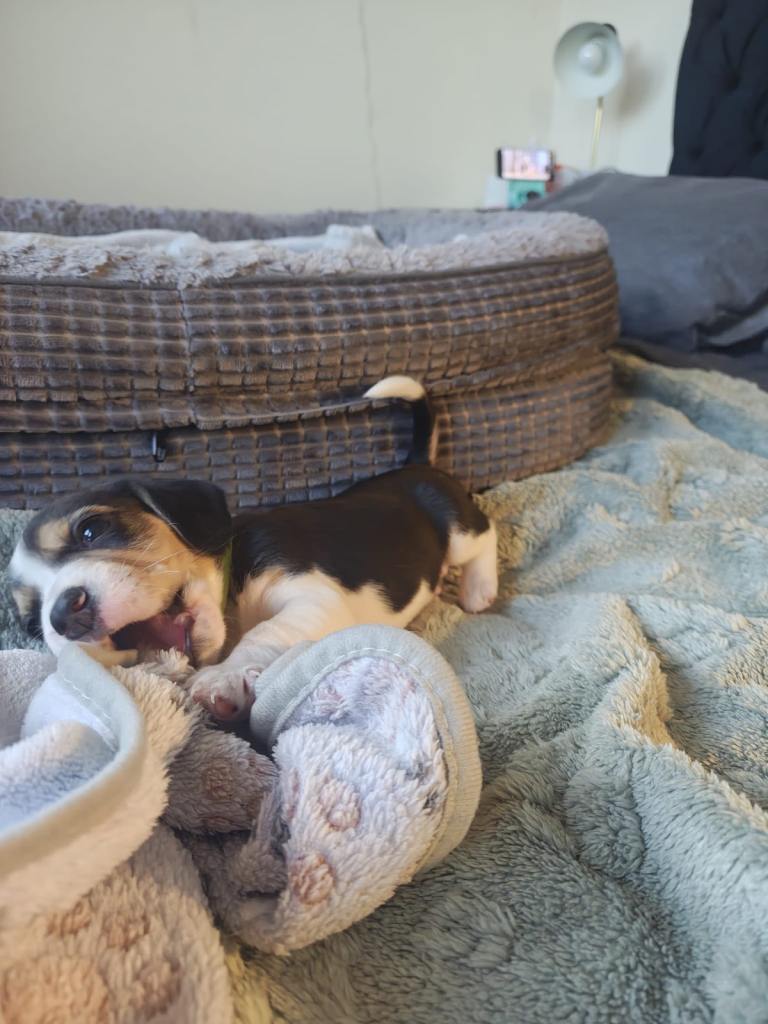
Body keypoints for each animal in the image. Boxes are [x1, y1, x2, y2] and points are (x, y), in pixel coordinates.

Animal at [9, 377, 498, 722]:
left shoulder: (312, 598)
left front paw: (222, 679)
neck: (229, 597)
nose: (62, 616)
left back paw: (479, 589)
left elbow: (264, 632)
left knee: (485, 532)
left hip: (456, 528)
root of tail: (416, 466)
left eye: (91, 530)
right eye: (33, 624)